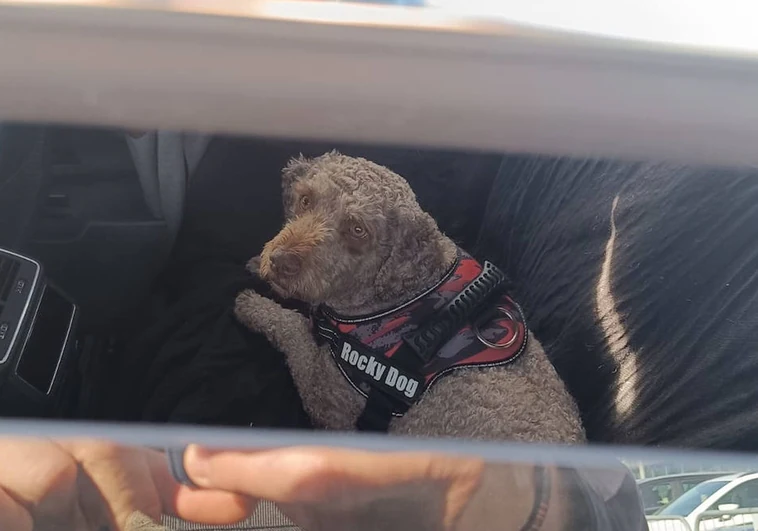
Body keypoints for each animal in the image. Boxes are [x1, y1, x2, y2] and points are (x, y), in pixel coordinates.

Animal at [238, 152, 588, 442]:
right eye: (306, 200)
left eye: (358, 230)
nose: (281, 261)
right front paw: (259, 265)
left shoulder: (326, 396)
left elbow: (295, 331)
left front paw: (254, 306)